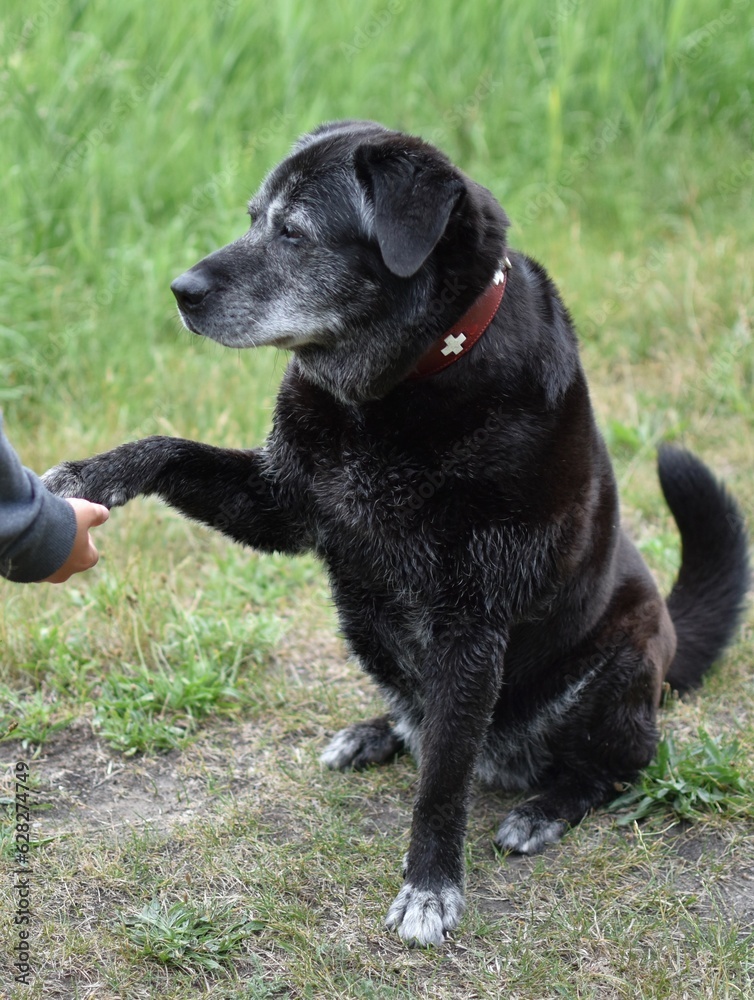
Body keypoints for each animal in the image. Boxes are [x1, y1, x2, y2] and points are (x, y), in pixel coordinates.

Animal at [44, 119, 748, 944]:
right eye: (252, 218)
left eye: (293, 232)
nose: (179, 291)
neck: (390, 396)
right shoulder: (281, 506)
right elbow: (169, 449)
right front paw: (94, 475)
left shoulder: (472, 623)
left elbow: (441, 782)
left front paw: (431, 885)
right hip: (364, 617)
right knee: (421, 712)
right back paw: (379, 731)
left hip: (620, 663)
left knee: (609, 762)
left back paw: (544, 807)